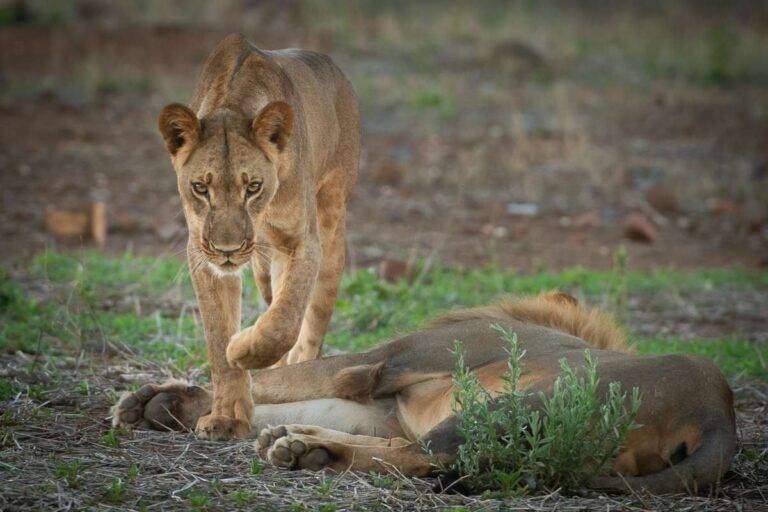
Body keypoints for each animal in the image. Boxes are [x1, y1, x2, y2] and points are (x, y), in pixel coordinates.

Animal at [113, 292, 736, 494]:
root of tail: (722, 413)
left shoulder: (376, 365)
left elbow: (279, 379)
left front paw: (171, 401)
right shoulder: (386, 405)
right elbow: (285, 394)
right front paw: (164, 406)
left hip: (512, 405)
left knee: (429, 456)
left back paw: (302, 446)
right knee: (426, 459)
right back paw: (308, 449)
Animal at [157, 34, 359, 439]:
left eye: (253, 186)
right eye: (200, 187)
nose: (228, 250)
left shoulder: (302, 242)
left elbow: (285, 320)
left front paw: (243, 350)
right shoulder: (202, 255)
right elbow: (218, 336)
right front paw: (227, 416)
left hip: (331, 226)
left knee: (310, 326)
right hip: (264, 269)